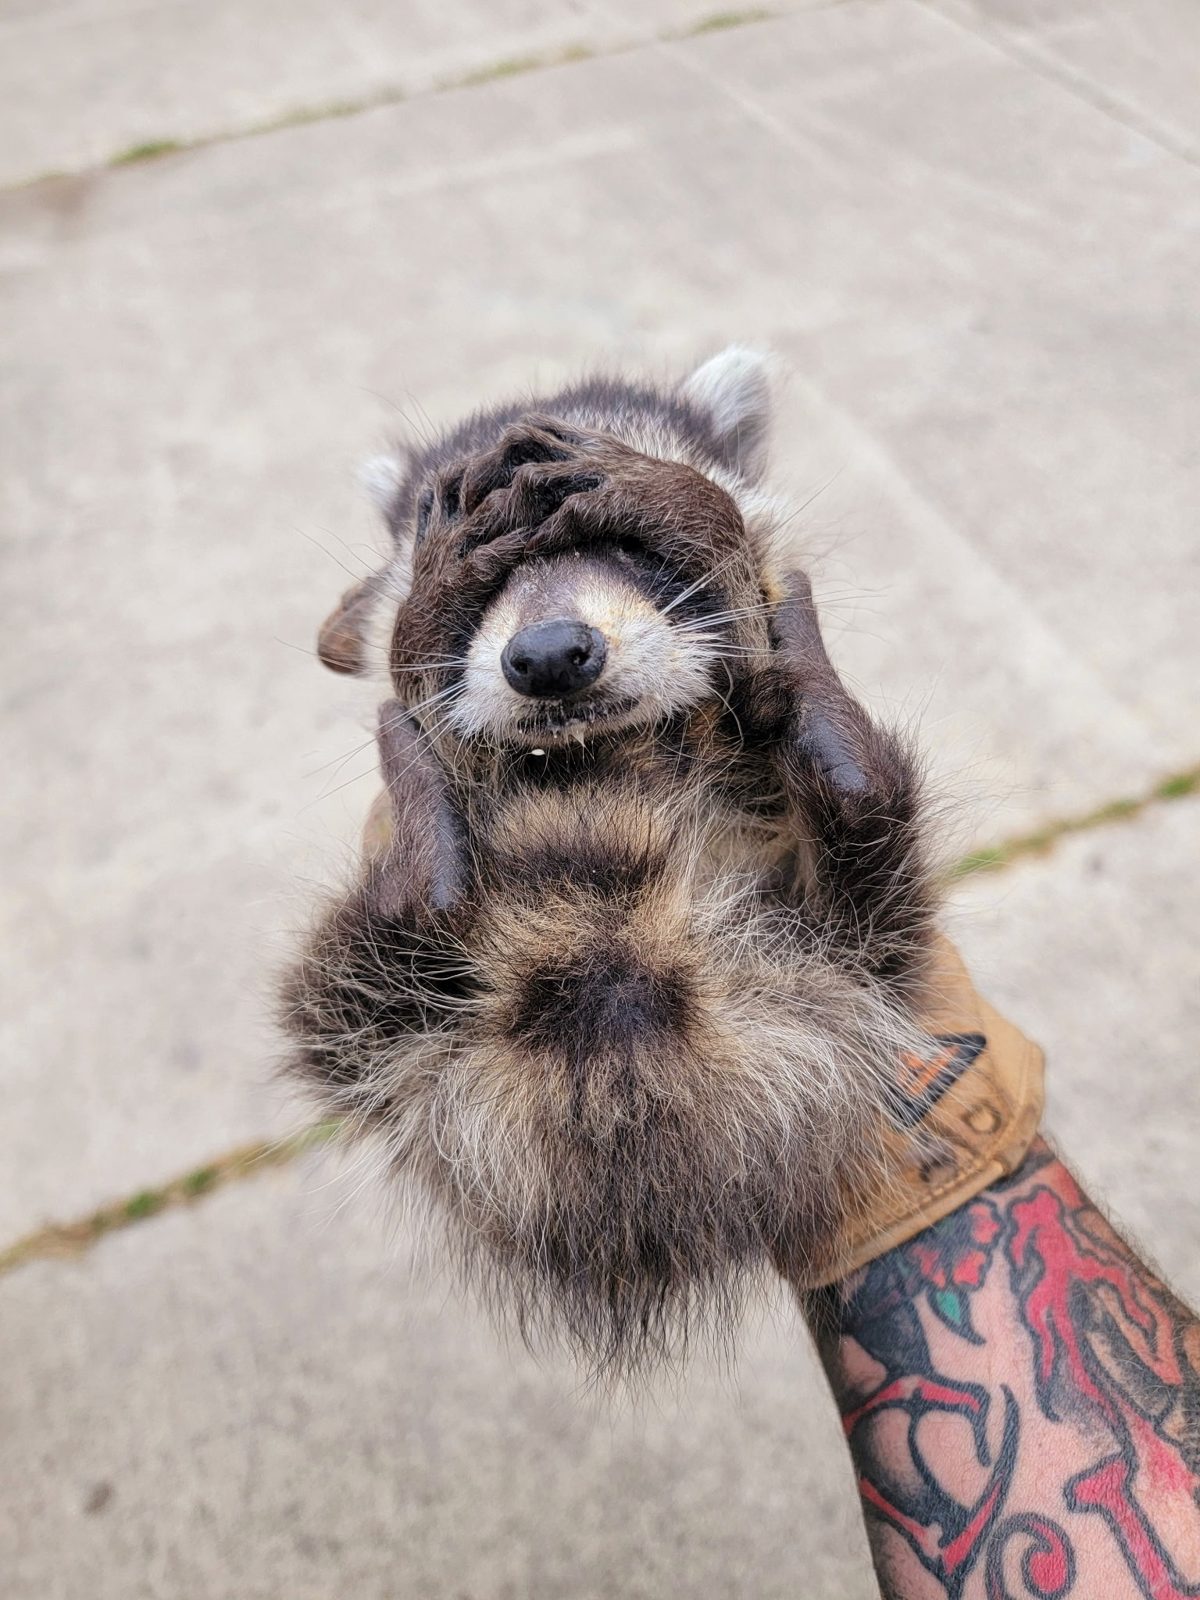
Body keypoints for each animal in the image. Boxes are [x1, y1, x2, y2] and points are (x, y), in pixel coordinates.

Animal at [282, 350, 939, 1372]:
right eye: (478, 572)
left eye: (629, 548)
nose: (550, 655)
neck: (603, 759)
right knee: (341, 1007)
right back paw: (414, 886)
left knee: (870, 918)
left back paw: (848, 774)